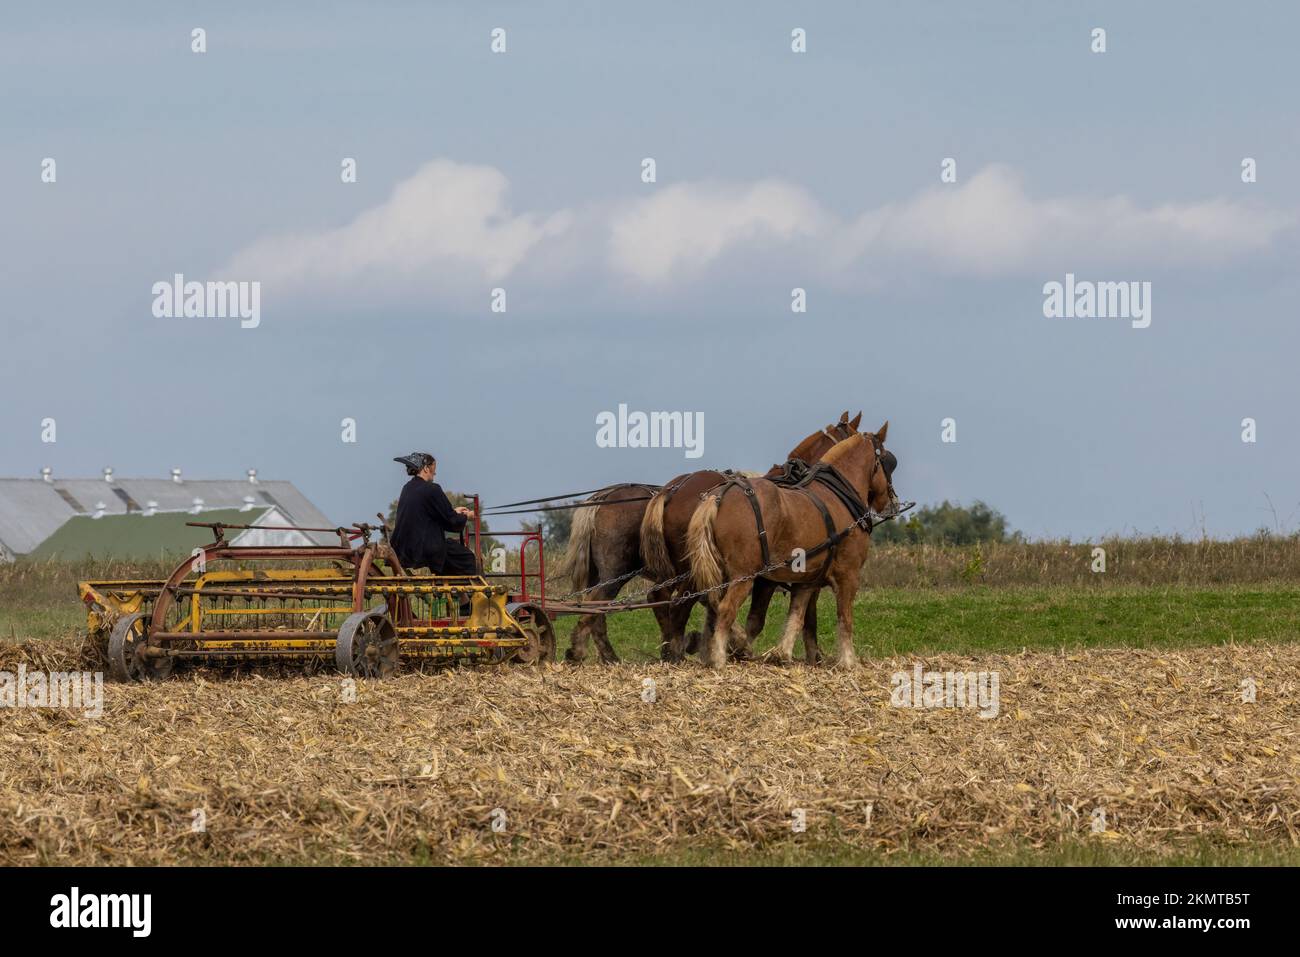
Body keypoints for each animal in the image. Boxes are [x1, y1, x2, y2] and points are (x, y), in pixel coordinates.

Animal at [556, 412, 862, 663]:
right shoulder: (780, 575)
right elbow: (799, 615)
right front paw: (810, 655)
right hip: (620, 570)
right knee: (611, 604)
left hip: (615, 571)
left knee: (608, 605)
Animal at [685, 424, 897, 669]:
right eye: (889, 462)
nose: (890, 502)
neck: (838, 494)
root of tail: (719, 495)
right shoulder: (848, 574)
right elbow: (844, 618)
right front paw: (848, 661)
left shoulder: (806, 579)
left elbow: (797, 615)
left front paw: (782, 652)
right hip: (743, 576)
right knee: (725, 609)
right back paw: (719, 658)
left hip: (718, 575)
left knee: (712, 607)